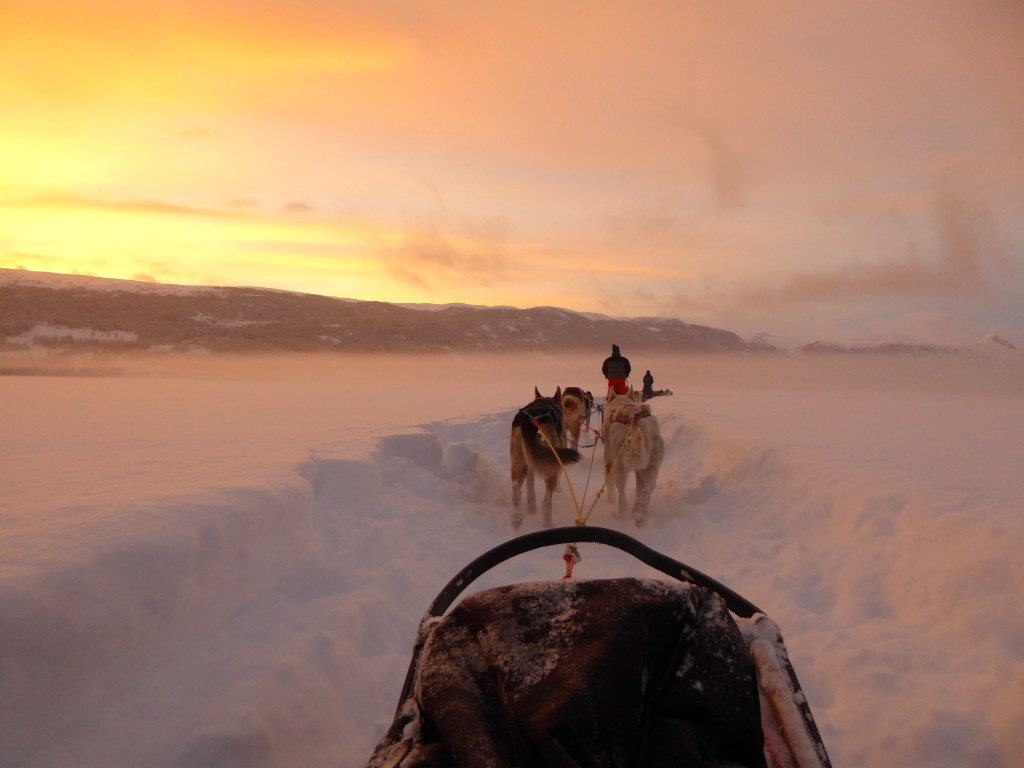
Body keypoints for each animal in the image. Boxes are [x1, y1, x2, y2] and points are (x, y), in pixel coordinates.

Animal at [507, 387, 581, 532]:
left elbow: (530, 491)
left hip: (519, 462)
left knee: (516, 490)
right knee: (546, 502)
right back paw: (548, 524)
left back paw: (516, 518)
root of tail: (530, 422)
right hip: (551, 466)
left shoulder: (531, 464)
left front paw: (531, 510)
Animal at [598, 391, 663, 528]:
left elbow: (610, 485)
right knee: (645, 493)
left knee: (623, 499)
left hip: (619, 469)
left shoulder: (609, 462)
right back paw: (640, 516)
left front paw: (610, 499)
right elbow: (639, 490)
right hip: (651, 469)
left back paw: (620, 515)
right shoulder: (639, 471)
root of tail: (641, 425)